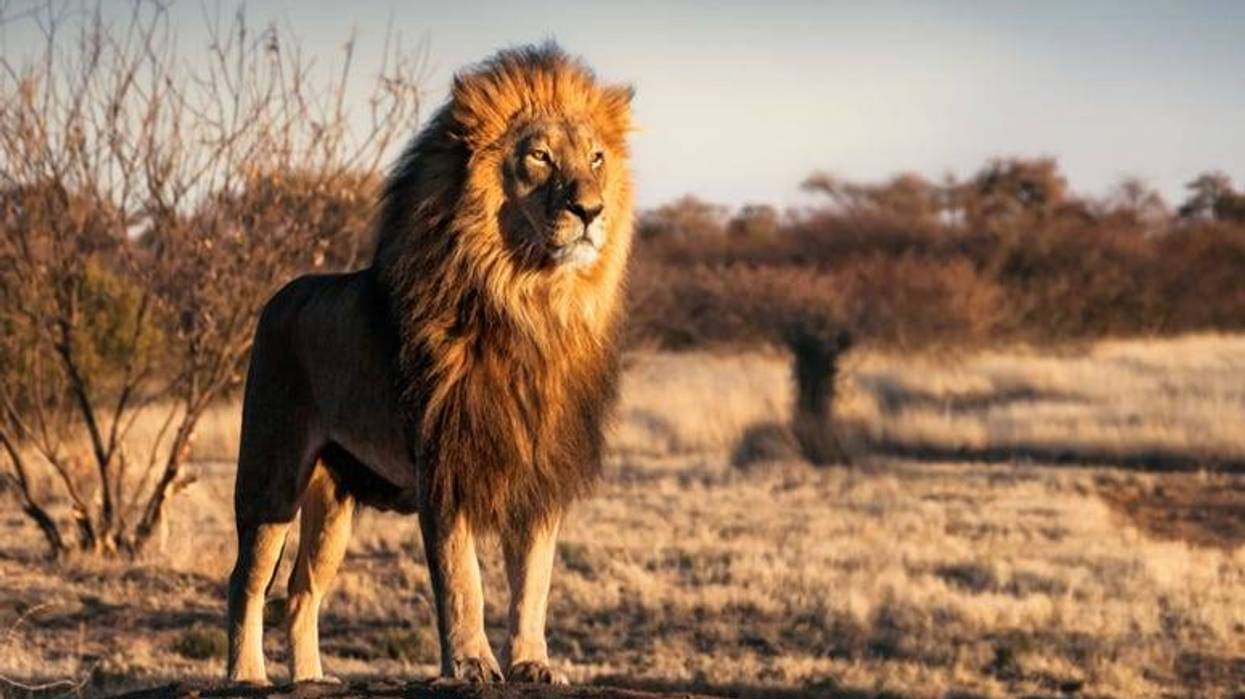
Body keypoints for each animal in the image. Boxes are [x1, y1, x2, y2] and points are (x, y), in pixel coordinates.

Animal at [226, 44, 634, 685]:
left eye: (596, 157)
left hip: (334, 500)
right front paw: (470, 663)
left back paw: (312, 678)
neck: (530, 304)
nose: (589, 209)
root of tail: (279, 295)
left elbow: (534, 582)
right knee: (245, 581)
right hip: (271, 474)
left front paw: (532, 663)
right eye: (540, 156)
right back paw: (246, 676)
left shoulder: (539, 472)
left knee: (300, 591)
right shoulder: (444, 464)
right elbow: (463, 580)